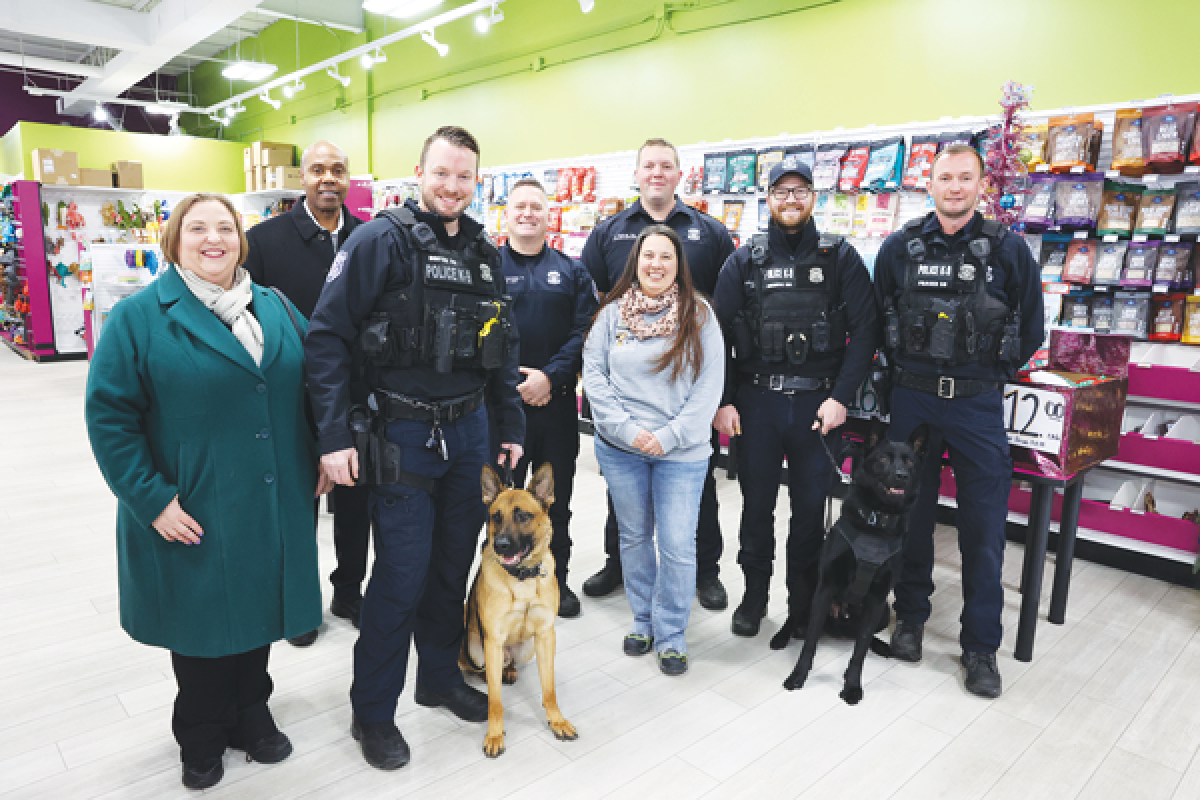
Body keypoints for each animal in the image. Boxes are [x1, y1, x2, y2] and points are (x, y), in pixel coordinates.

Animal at [777, 422, 926, 705]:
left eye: (910, 462)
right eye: (883, 459)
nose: (901, 475)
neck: (876, 521)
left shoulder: (877, 598)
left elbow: (860, 650)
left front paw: (852, 685)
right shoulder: (824, 590)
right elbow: (810, 643)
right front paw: (798, 675)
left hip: (883, 611)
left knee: (862, 636)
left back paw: (880, 645)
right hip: (804, 586)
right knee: (795, 617)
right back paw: (783, 635)